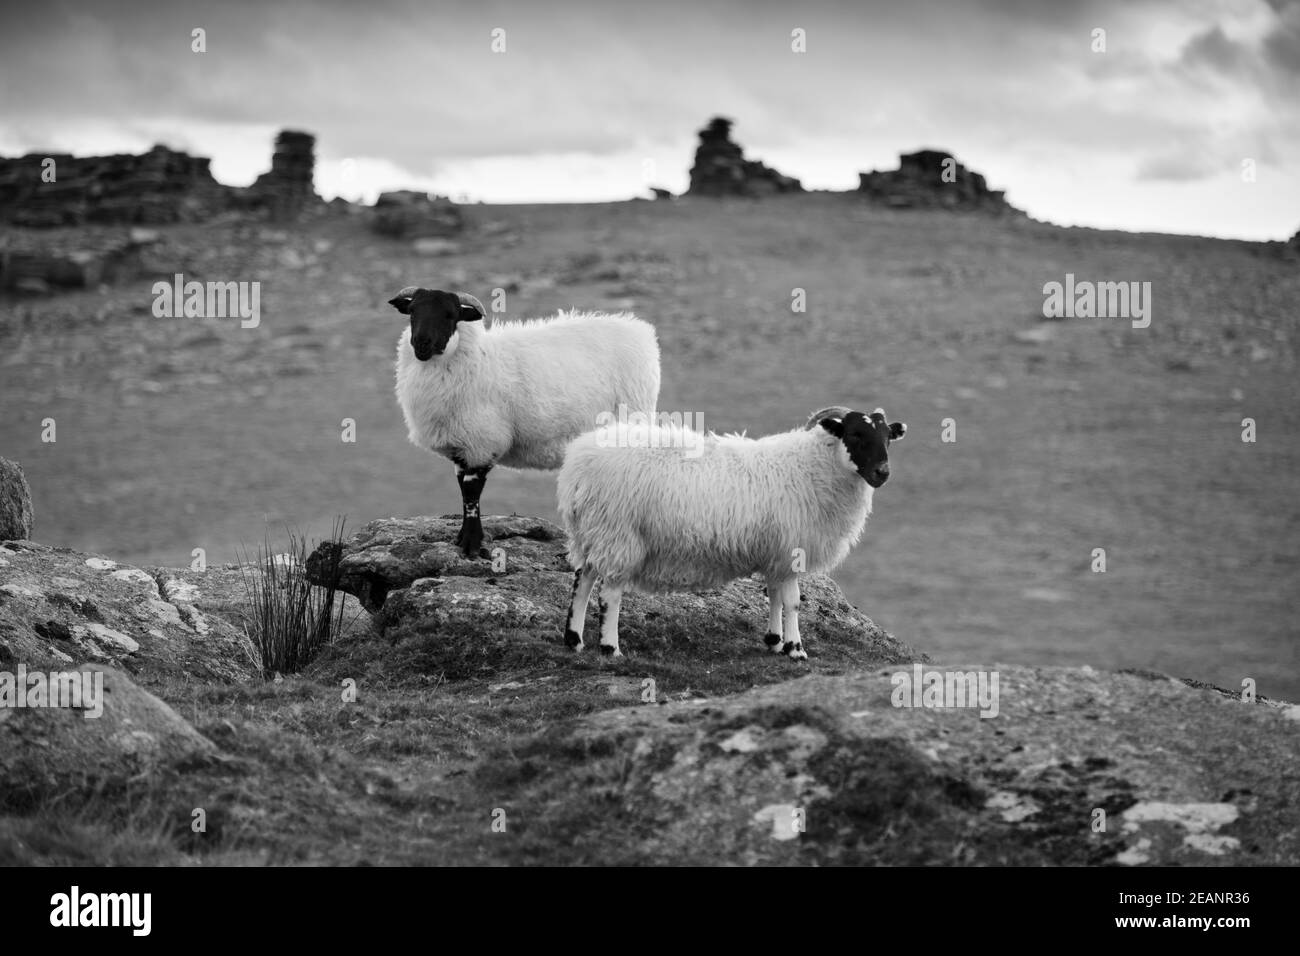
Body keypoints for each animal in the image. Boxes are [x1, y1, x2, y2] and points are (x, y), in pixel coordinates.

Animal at [388, 286, 660, 557]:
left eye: (450, 314)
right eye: (412, 311)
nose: (421, 343)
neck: (474, 357)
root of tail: (639, 332)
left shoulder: (482, 443)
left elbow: (471, 493)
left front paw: (472, 544)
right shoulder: (462, 446)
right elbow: (463, 491)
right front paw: (463, 538)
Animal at [557, 405, 906, 659]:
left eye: (887, 437)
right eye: (856, 434)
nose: (882, 473)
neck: (812, 467)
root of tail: (578, 464)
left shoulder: (774, 553)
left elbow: (774, 597)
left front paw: (774, 641)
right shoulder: (790, 550)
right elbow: (792, 602)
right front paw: (796, 649)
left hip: (593, 532)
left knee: (583, 578)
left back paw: (574, 640)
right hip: (619, 533)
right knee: (609, 592)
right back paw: (610, 648)